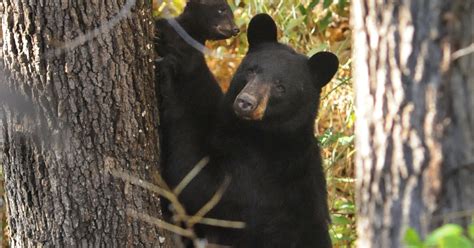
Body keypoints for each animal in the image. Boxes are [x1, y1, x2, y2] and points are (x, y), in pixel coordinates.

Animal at [180, 14, 338, 248]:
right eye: (251, 70)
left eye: (280, 87)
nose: (246, 103)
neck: (261, 134)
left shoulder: (258, 174)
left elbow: (200, 184)